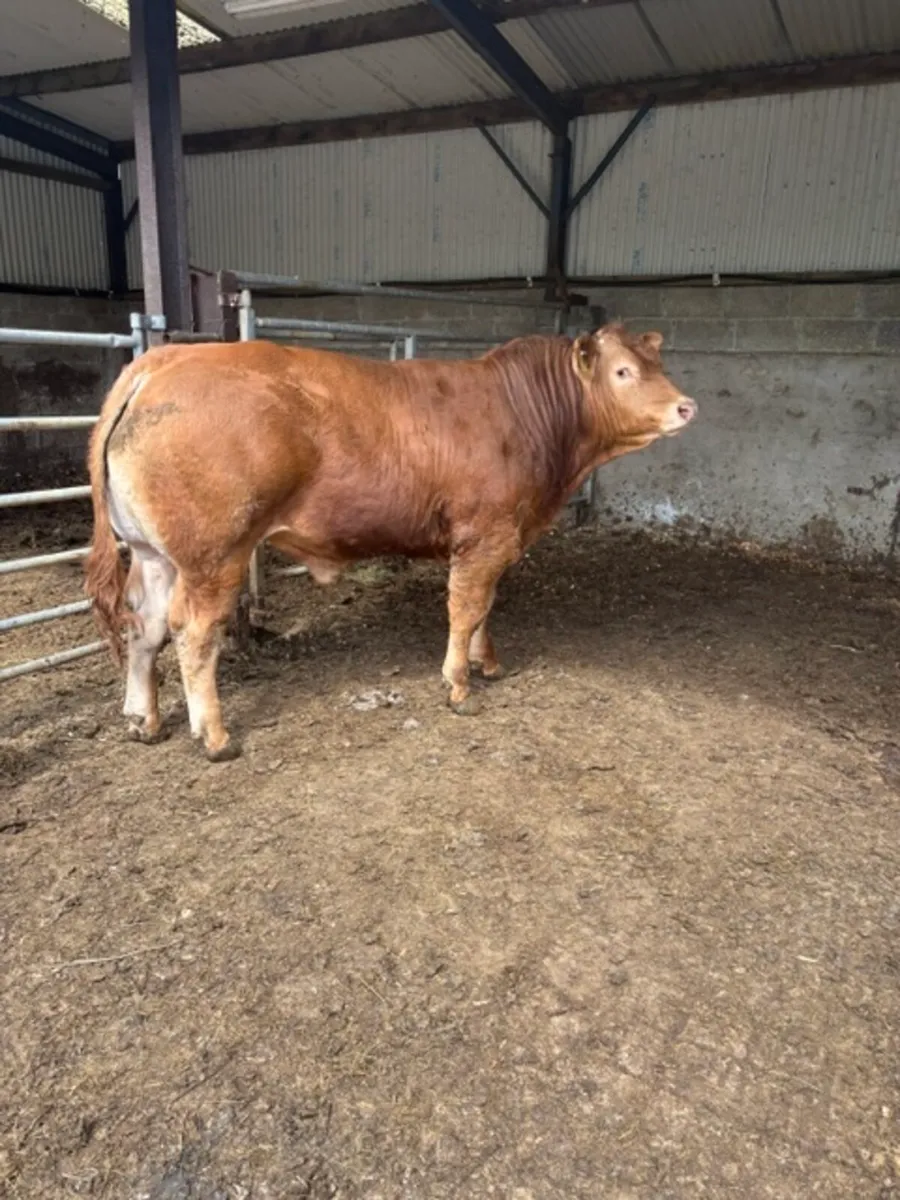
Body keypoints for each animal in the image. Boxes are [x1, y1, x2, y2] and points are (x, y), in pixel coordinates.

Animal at [84, 324, 696, 761]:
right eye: (623, 371)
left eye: (657, 365)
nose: (686, 406)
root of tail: (162, 361)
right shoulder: (485, 535)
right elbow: (466, 607)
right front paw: (458, 684)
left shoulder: (498, 541)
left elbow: (485, 608)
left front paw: (488, 664)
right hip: (216, 554)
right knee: (192, 630)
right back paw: (213, 736)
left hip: (153, 553)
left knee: (145, 624)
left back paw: (143, 719)